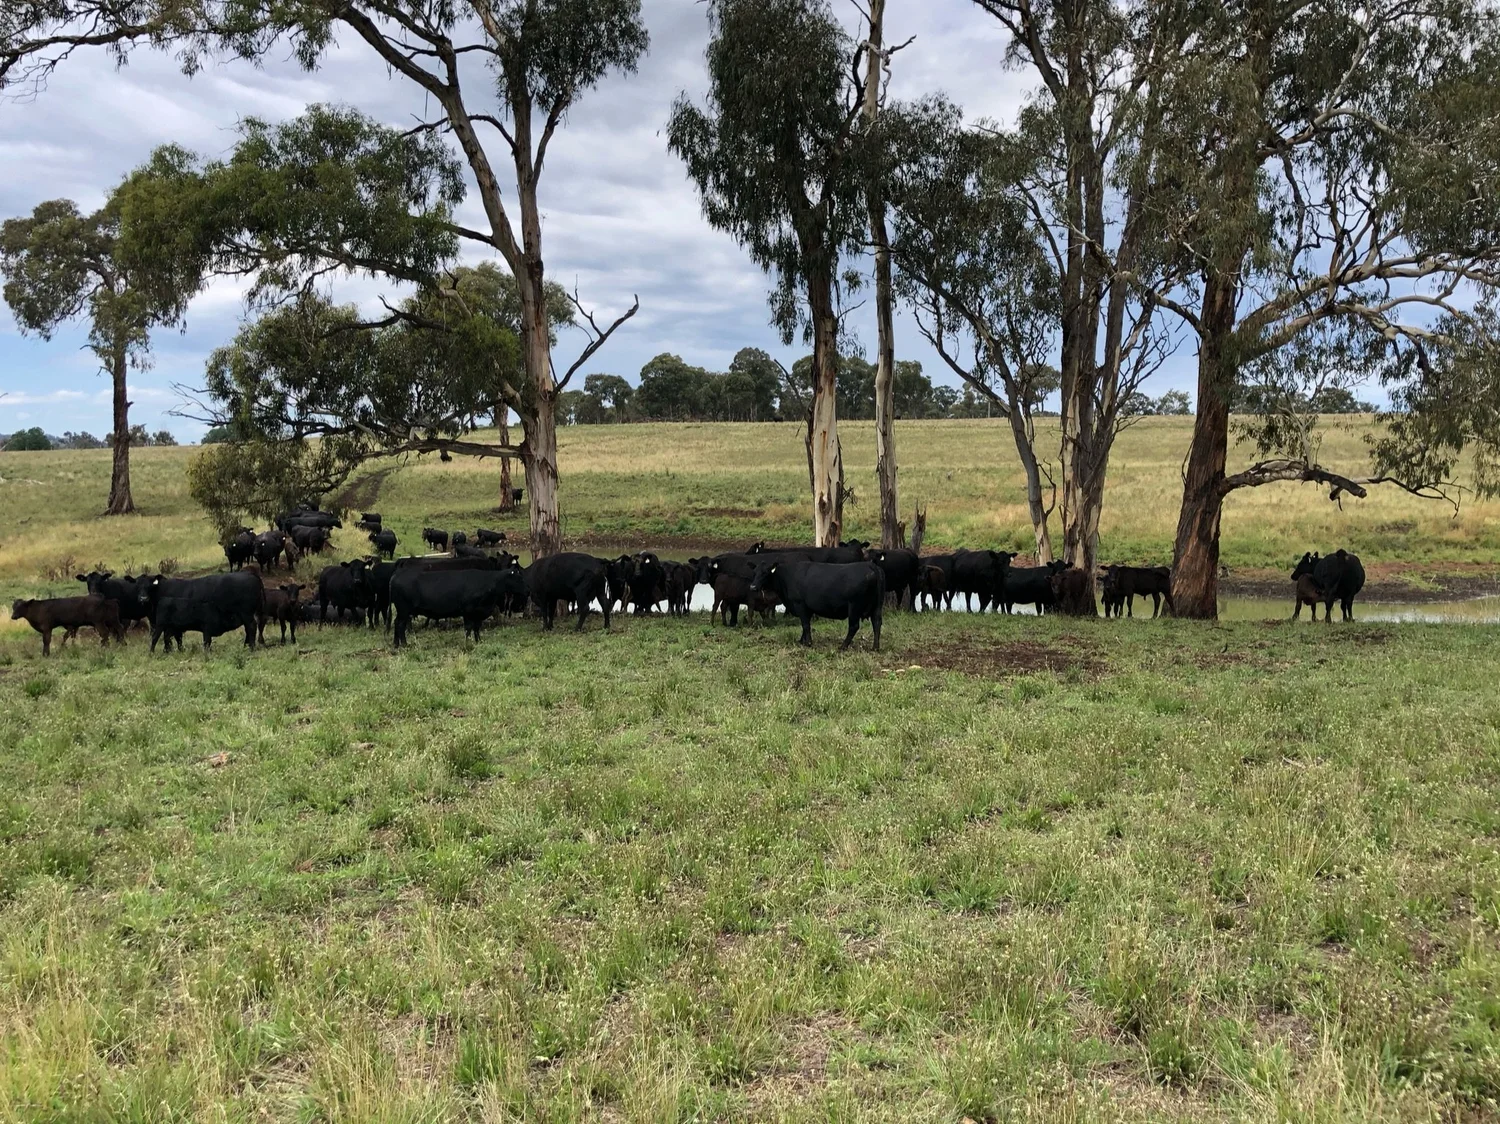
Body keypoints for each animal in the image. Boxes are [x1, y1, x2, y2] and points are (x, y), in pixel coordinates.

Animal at [136, 571, 264, 652]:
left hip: (246, 614)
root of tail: (250, 574)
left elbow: (173, 637)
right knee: (248, 629)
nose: (143, 598)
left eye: (149, 586)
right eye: (137, 586)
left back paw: (251, 648)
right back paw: (246, 646)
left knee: (251, 627)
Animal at [390, 564, 527, 646]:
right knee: (400, 625)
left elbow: (477, 627)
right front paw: (468, 643)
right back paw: (404, 644)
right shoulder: (468, 610)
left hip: (402, 611)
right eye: (519, 577)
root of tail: (398, 573)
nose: (528, 589)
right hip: (403, 610)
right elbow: (469, 627)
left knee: (397, 623)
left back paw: (396, 644)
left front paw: (478, 641)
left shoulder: (478, 612)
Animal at [749, 559, 884, 649]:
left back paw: (842, 646)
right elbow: (806, 625)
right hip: (877, 607)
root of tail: (869, 564)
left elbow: (805, 624)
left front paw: (808, 643)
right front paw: (802, 641)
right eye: (755, 572)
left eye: (766, 572)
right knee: (877, 623)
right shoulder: (807, 608)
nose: (753, 587)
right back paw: (875, 647)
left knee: (854, 626)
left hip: (854, 607)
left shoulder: (800, 604)